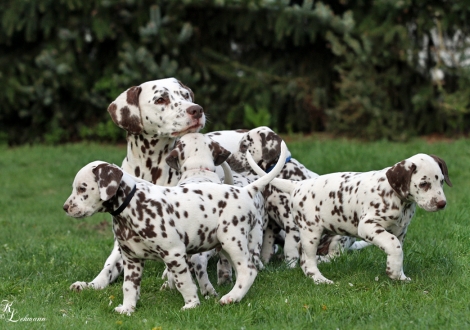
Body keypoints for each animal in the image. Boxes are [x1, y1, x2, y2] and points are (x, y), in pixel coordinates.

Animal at [64, 141, 288, 314]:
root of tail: (245, 190)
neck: (134, 205)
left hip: (232, 240)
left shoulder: (174, 254)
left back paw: (231, 297)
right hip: (224, 246)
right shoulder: (131, 259)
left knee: (248, 270)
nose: (65, 207)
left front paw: (192, 305)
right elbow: (128, 287)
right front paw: (127, 309)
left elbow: (184, 283)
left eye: (82, 188)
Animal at [248, 152, 454, 284]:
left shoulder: (400, 231)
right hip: (311, 232)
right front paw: (394, 272)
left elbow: (397, 249)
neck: (397, 197)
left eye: (441, 181)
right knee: (307, 261)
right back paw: (320, 279)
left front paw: (398, 275)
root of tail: (298, 186)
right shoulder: (369, 225)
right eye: (424, 184)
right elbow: (394, 245)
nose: (442, 203)